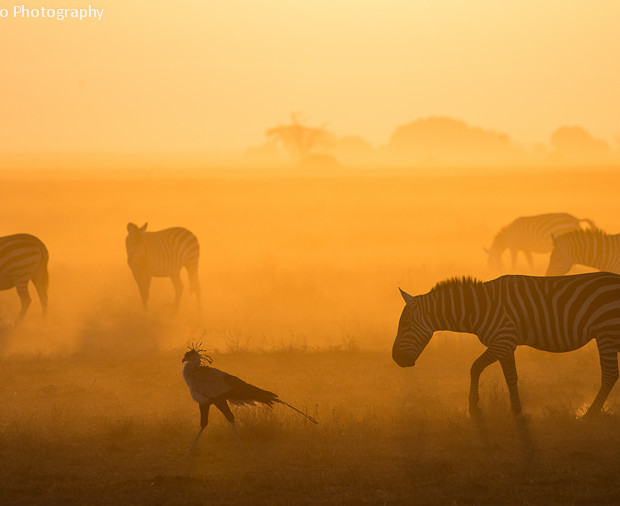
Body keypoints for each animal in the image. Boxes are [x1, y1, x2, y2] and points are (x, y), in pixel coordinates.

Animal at [394, 270, 620, 418]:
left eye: (405, 325)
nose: (396, 359)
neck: (479, 308)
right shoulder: (506, 345)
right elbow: (511, 377)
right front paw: (516, 409)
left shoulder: (502, 341)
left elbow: (475, 367)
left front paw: (473, 405)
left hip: (606, 333)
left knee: (610, 374)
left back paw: (590, 414)